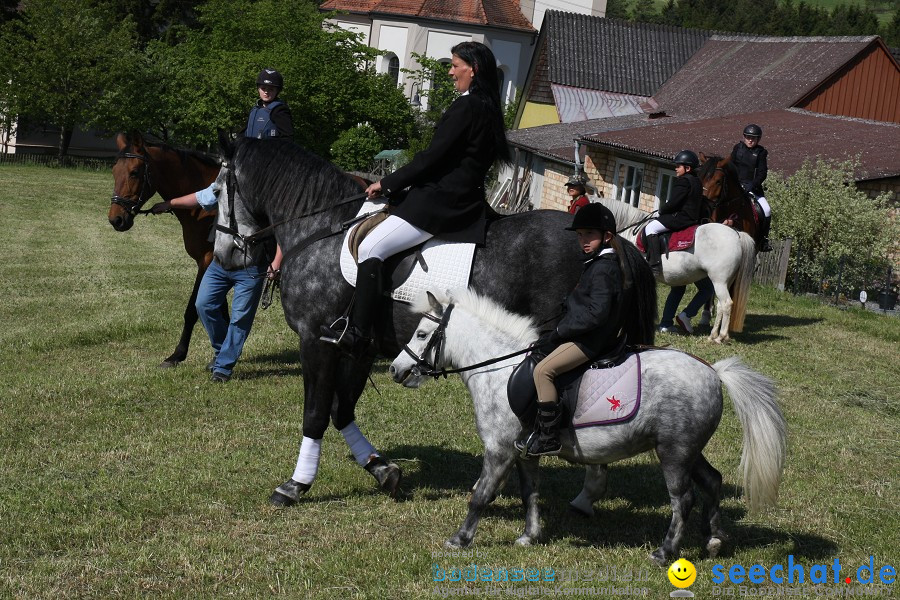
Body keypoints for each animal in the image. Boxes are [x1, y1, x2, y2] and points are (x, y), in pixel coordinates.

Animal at [108, 131, 221, 366]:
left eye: (134, 172)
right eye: (114, 171)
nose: (116, 219)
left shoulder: (208, 260)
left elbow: (194, 309)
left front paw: (178, 354)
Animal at [218, 138, 652, 504]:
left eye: (219, 188)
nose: (226, 255)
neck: (320, 231)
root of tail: (614, 245)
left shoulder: (315, 340)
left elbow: (316, 413)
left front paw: (296, 485)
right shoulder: (359, 348)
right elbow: (342, 411)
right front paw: (383, 471)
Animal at [390, 288, 784, 564]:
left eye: (422, 334)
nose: (396, 370)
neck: (498, 370)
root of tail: (713, 372)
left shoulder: (499, 449)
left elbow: (480, 496)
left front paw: (459, 540)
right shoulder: (525, 452)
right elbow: (530, 492)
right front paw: (529, 536)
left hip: (674, 452)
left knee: (682, 499)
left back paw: (664, 553)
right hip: (689, 450)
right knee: (712, 481)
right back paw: (713, 539)